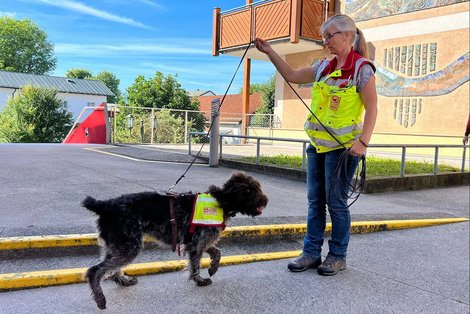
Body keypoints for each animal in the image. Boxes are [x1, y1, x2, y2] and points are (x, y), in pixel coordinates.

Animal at [81, 173, 268, 310]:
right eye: (249, 191)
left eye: (257, 187)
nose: (265, 201)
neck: (221, 201)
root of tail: (104, 205)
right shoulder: (196, 244)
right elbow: (195, 266)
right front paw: (199, 281)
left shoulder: (198, 242)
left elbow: (217, 252)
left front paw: (213, 268)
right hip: (128, 246)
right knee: (94, 271)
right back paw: (100, 299)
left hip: (118, 245)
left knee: (110, 269)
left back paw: (123, 281)